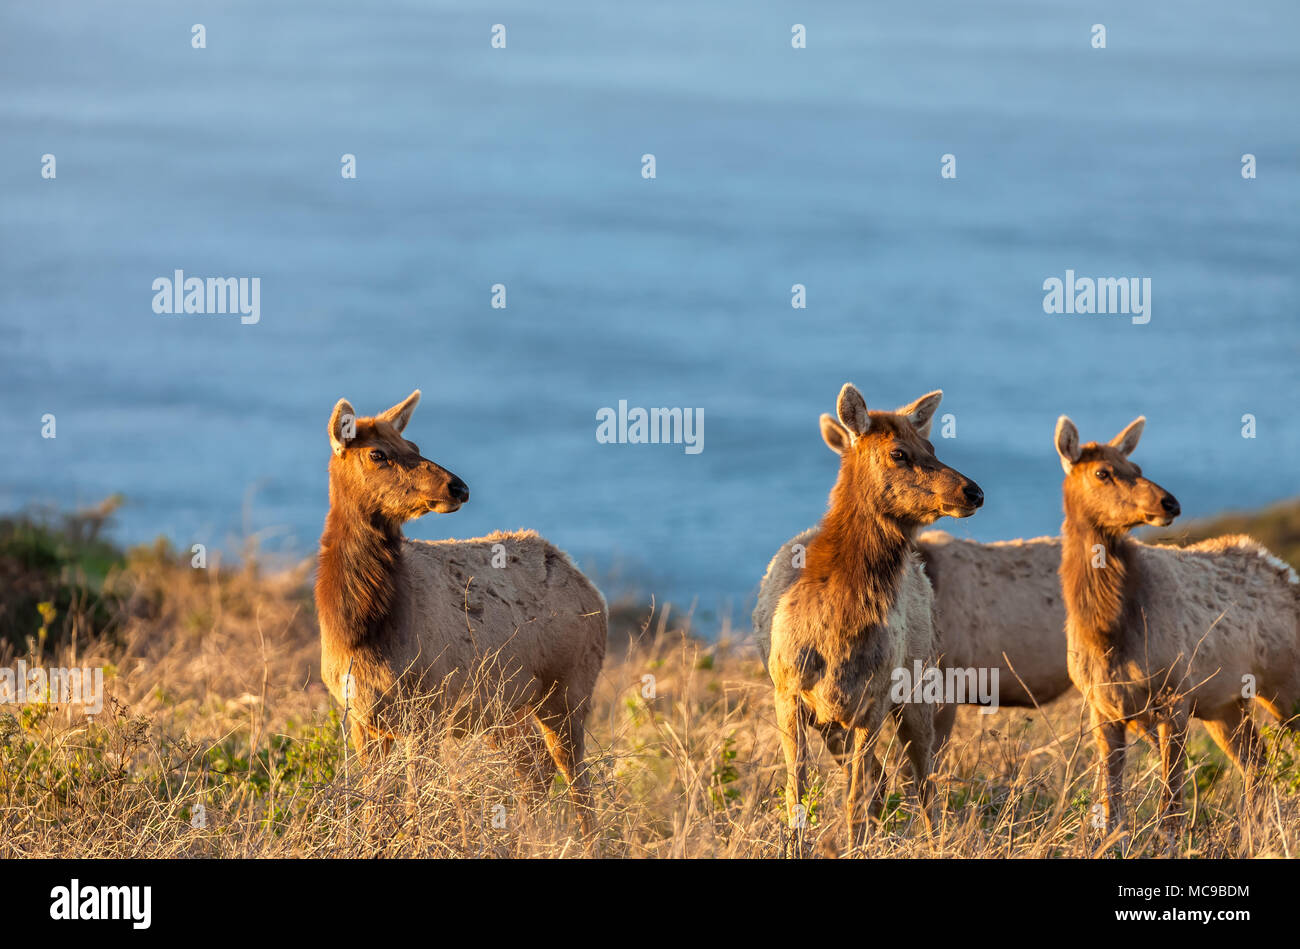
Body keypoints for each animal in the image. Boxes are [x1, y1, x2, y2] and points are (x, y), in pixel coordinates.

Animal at [314, 390, 608, 833]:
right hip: (508, 708)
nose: (459, 487)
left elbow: (415, 804)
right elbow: (371, 803)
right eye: (378, 453)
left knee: (575, 778)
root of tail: (592, 590)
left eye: (414, 446)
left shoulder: (427, 710)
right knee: (533, 768)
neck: (359, 631)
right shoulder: (363, 717)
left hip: (569, 688)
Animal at [762, 383, 984, 852]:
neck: (837, 625)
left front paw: (856, 846)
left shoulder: (875, 698)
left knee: (922, 778)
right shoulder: (787, 688)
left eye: (932, 447)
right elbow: (797, 790)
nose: (974, 492)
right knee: (885, 780)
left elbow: (856, 796)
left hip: (919, 683)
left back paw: (933, 842)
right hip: (834, 718)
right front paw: (797, 846)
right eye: (899, 452)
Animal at [1054, 414, 1300, 842]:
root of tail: (1288, 574)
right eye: (1103, 472)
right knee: (1257, 760)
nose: (1170, 502)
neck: (1108, 632)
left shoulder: (1176, 694)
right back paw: (1254, 829)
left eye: (1136, 466)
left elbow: (1171, 797)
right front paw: (1112, 839)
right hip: (1225, 704)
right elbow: (1111, 799)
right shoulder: (1101, 704)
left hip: (1285, 681)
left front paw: (1167, 841)